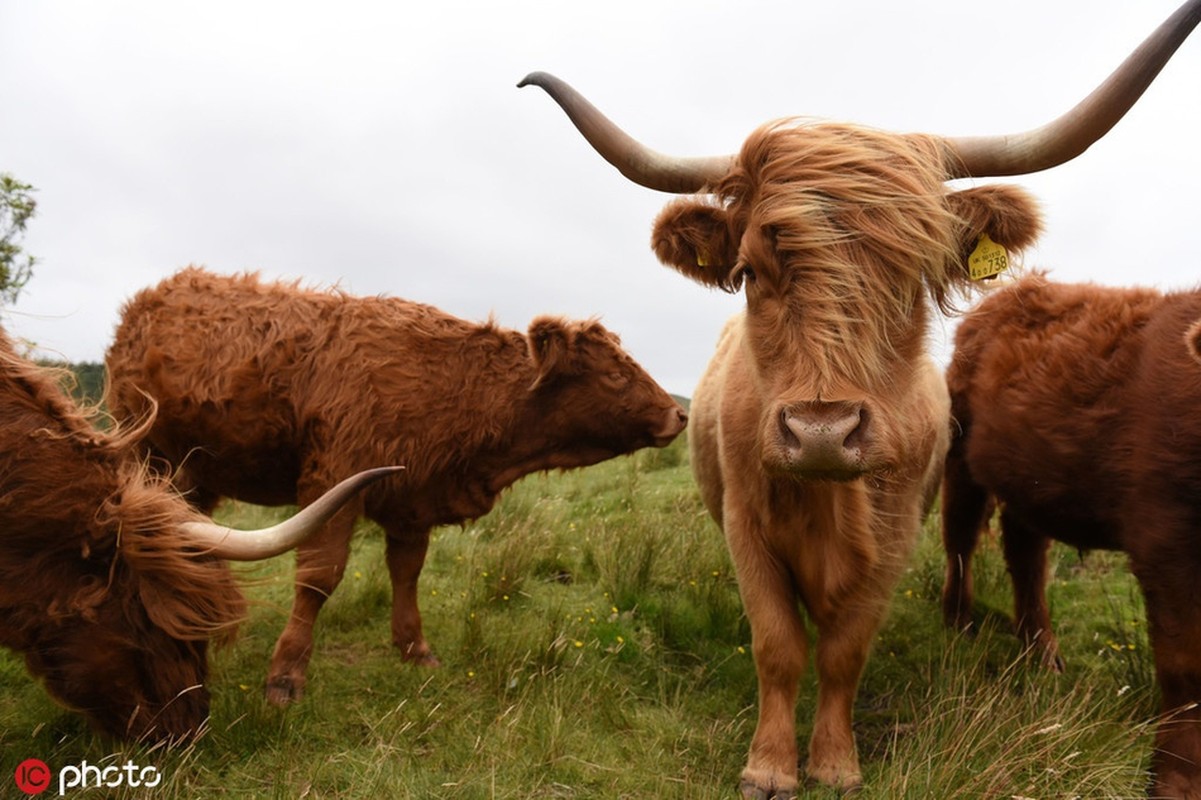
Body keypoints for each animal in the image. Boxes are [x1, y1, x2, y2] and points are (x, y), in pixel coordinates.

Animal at [103, 266, 686, 706]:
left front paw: (415, 648)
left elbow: (407, 574)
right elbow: (318, 579)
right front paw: (286, 676)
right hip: (154, 463)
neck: (457, 384)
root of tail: (151, 300)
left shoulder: (411, 502)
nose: (678, 415)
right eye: (614, 375)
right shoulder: (333, 484)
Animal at [941, 272, 1201, 792]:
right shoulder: (1164, 538)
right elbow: (1186, 668)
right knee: (960, 536)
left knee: (1025, 556)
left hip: (1028, 482)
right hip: (961, 453)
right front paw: (1177, 781)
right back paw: (959, 622)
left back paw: (1042, 653)